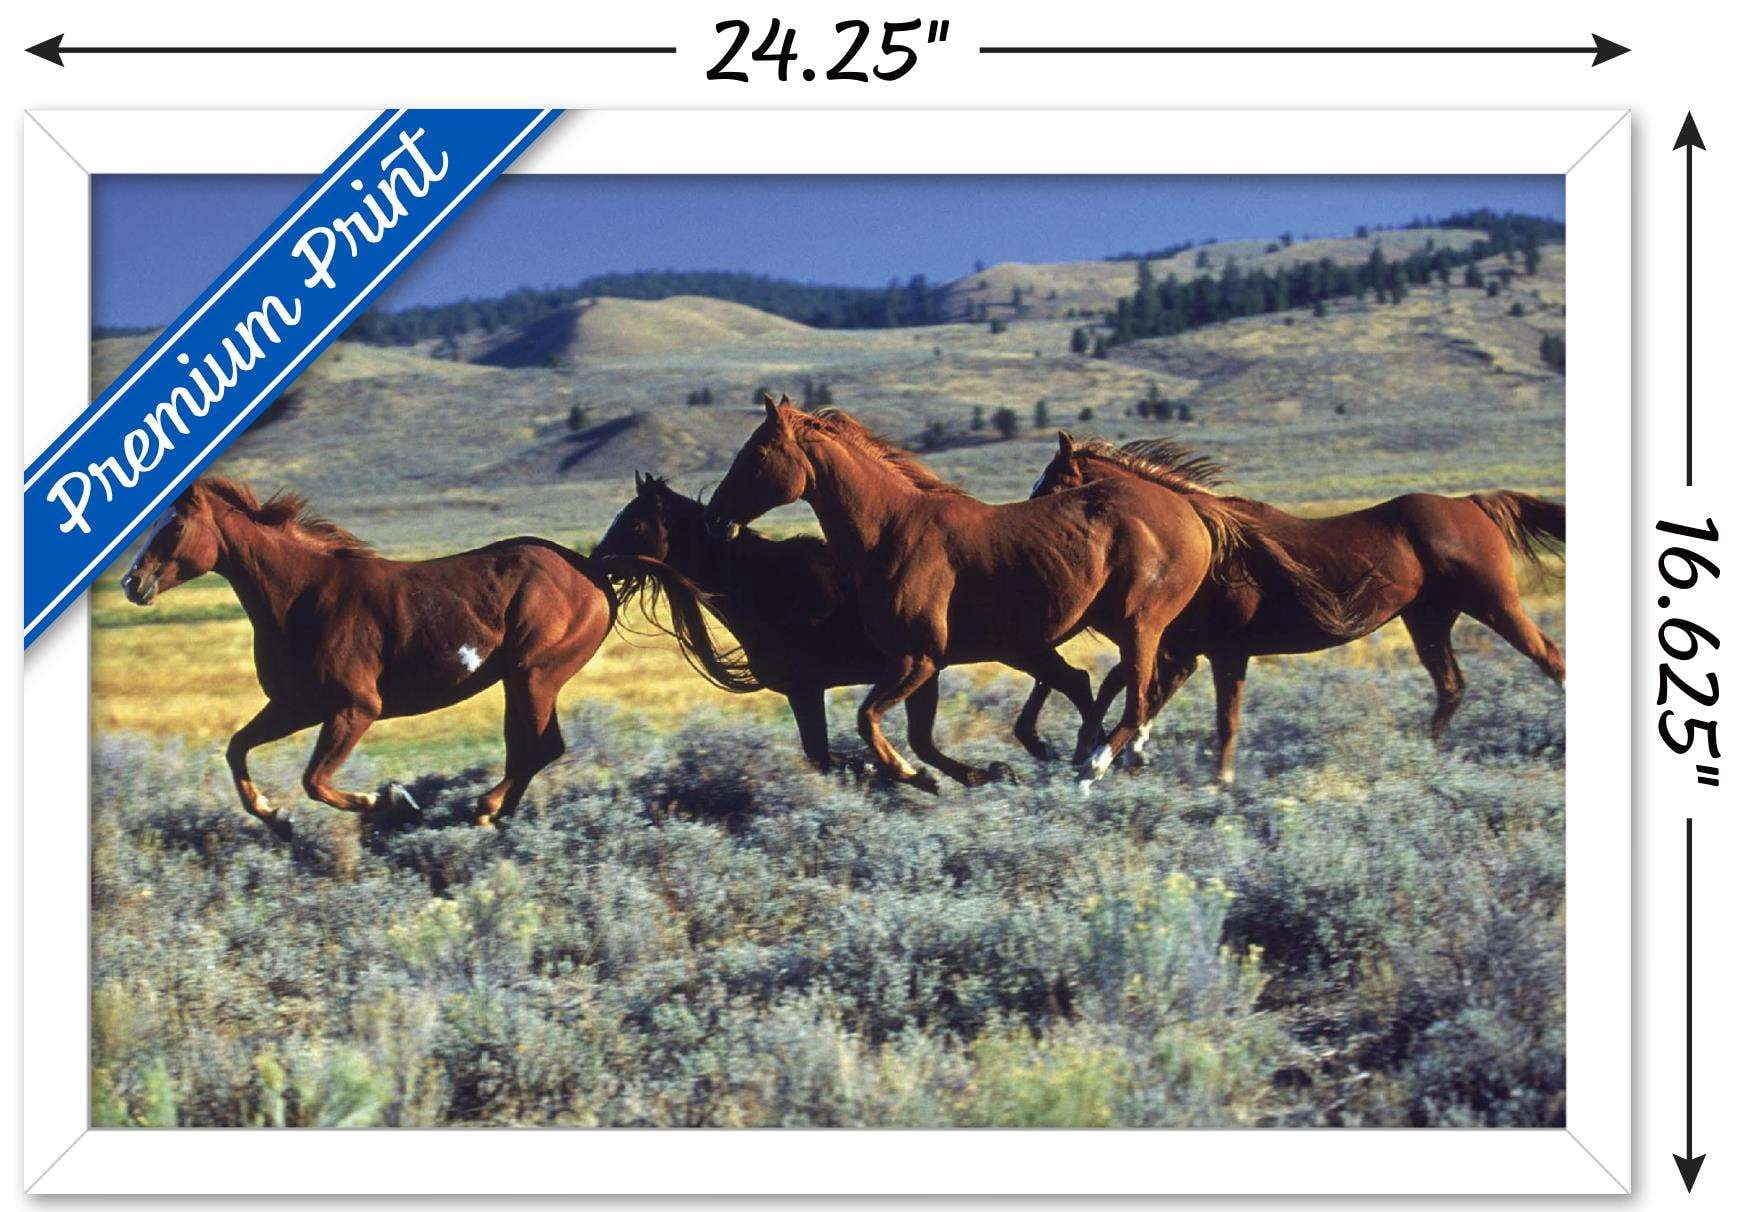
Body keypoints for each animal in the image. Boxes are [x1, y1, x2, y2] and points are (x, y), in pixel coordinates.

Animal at [119, 476, 702, 836]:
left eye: (173, 525)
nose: (132, 583)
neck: (303, 595)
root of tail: (593, 570)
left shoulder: (355, 708)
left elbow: (315, 781)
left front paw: (395, 803)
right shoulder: (296, 706)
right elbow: (237, 749)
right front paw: (277, 819)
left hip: (534, 674)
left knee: (538, 747)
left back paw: (483, 811)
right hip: (526, 681)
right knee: (532, 748)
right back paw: (495, 814)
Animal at [593, 473, 998, 786]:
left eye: (634, 523)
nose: (596, 563)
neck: (770, 586)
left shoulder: (806, 689)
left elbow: (825, 754)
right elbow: (832, 754)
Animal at [702, 396, 1226, 790]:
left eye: (758, 454)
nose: (715, 515)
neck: (892, 530)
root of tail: (1191, 512)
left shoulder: (917, 659)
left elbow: (869, 721)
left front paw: (911, 774)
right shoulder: (923, 664)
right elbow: (912, 734)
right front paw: (947, 775)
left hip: (1139, 625)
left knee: (1137, 699)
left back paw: (1091, 769)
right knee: (1112, 687)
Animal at [1024, 433, 1566, 784]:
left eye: (1051, 482)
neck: (1211, 543)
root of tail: (1473, 503)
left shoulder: (1222, 653)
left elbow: (1221, 719)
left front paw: (1214, 781)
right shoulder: (1186, 649)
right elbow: (1141, 695)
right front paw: (1117, 756)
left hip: (1494, 603)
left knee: (1549, 657)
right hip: (1429, 619)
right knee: (1451, 685)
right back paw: (1424, 754)